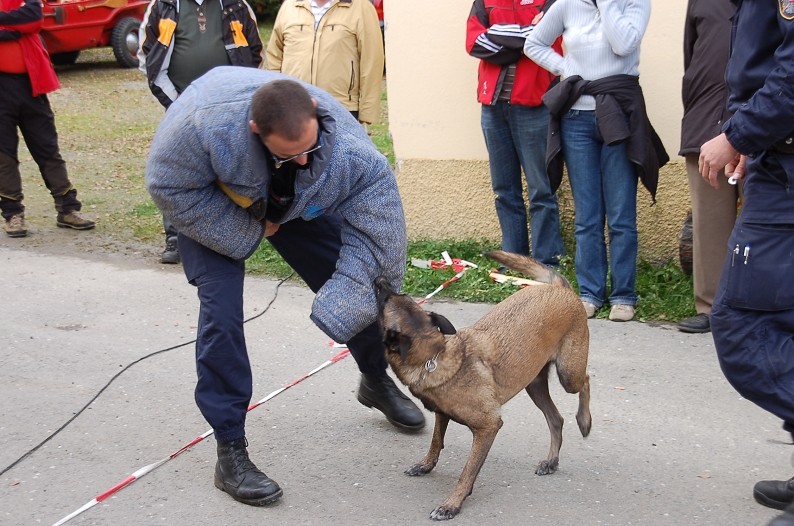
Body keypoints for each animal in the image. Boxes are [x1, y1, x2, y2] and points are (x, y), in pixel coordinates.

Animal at [372, 251, 588, 520]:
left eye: (384, 302)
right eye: (393, 296)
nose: (379, 279)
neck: (434, 357)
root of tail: (558, 288)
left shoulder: (488, 427)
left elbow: (467, 471)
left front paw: (452, 504)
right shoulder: (442, 414)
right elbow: (436, 442)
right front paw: (426, 465)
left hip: (569, 374)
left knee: (585, 382)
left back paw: (585, 421)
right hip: (534, 385)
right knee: (556, 419)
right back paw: (551, 461)